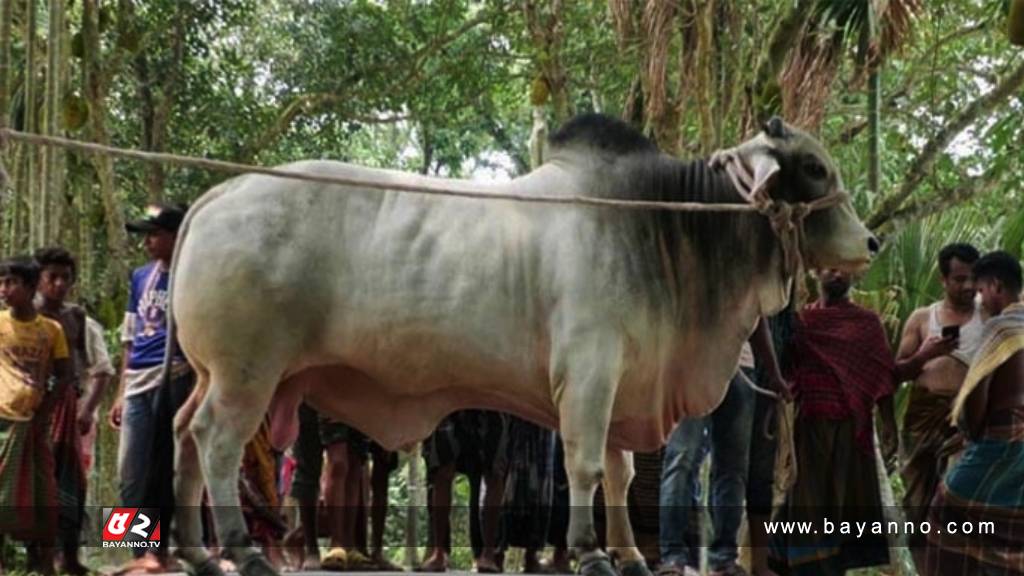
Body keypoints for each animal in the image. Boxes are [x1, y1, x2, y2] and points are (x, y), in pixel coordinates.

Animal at [165, 114, 872, 573]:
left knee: (182, 433)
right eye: (814, 166)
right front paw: (589, 553)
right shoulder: (589, 372)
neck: (664, 226)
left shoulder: (623, 384)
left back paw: (196, 551)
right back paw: (241, 550)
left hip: (214, 375)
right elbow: (586, 468)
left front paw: (629, 555)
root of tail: (218, 193)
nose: (871, 242)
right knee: (216, 442)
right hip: (247, 373)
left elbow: (617, 473)